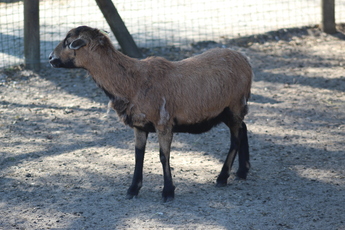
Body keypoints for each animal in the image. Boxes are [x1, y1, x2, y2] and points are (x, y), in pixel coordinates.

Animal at [48, 25, 253, 201]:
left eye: (68, 42)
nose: (50, 58)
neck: (132, 82)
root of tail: (245, 59)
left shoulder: (164, 123)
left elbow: (163, 156)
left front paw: (168, 192)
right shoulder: (140, 125)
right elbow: (139, 155)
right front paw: (133, 189)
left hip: (234, 105)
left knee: (235, 139)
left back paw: (223, 177)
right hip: (226, 111)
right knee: (243, 128)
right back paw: (243, 171)